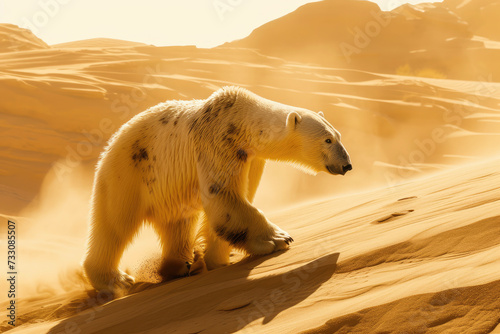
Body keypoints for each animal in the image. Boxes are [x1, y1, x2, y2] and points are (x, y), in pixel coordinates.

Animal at [84, 85, 352, 292]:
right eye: (327, 139)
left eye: (338, 135)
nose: (347, 164)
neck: (241, 117)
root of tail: (110, 144)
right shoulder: (219, 141)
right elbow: (224, 196)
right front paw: (278, 238)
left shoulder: (251, 158)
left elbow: (236, 199)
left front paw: (217, 259)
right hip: (128, 174)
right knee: (114, 225)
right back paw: (115, 280)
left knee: (178, 223)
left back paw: (181, 265)